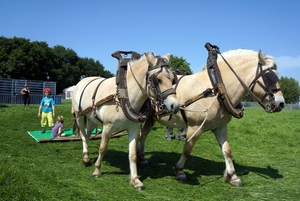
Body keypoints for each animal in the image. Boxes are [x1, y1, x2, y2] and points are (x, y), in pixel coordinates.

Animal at [72, 51, 180, 190]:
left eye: (172, 79)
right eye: (157, 80)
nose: (175, 106)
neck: (124, 96)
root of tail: (83, 80)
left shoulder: (134, 129)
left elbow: (132, 155)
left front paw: (135, 180)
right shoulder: (107, 127)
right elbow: (102, 148)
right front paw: (97, 170)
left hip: (92, 118)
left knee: (88, 133)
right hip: (79, 115)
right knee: (83, 134)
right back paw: (85, 157)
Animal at [137, 45, 284, 187]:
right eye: (270, 77)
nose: (281, 103)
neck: (217, 88)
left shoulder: (220, 127)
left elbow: (227, 150)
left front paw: (232, 176)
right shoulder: (195, 127)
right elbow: (187, 149)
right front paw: (179, 171)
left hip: (151, 118)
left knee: (143, 135)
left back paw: (141, 158)